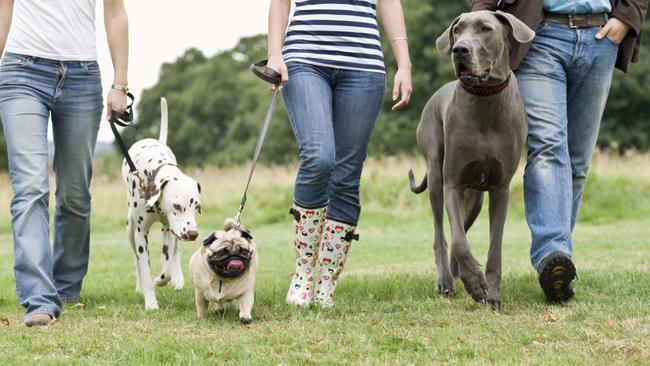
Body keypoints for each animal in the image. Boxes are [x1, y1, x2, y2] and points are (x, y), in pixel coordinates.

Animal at [121, 96, 201, 308]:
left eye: (196, 206)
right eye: (177, 206)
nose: (193, 234)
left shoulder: (169, 228)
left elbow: (167, 266)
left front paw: (163, 278)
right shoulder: (141, 234)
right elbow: (144, 267)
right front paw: (150, 302)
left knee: (175, 252)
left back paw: (178, 277)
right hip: (130, 230)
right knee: (136, 259)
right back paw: (140, 286)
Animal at [408, 10, 536, 310]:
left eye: (485, 29)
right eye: (457, 30)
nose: (459, 50)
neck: (484, 100)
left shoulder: (500, 189)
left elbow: (494, 248)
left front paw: (492, 294)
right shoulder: (452, 183)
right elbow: (458, 241)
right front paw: (476, 283)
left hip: (475, 198)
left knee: (462, 226)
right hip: (435, 173)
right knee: (442, 232)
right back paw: (447, 279)